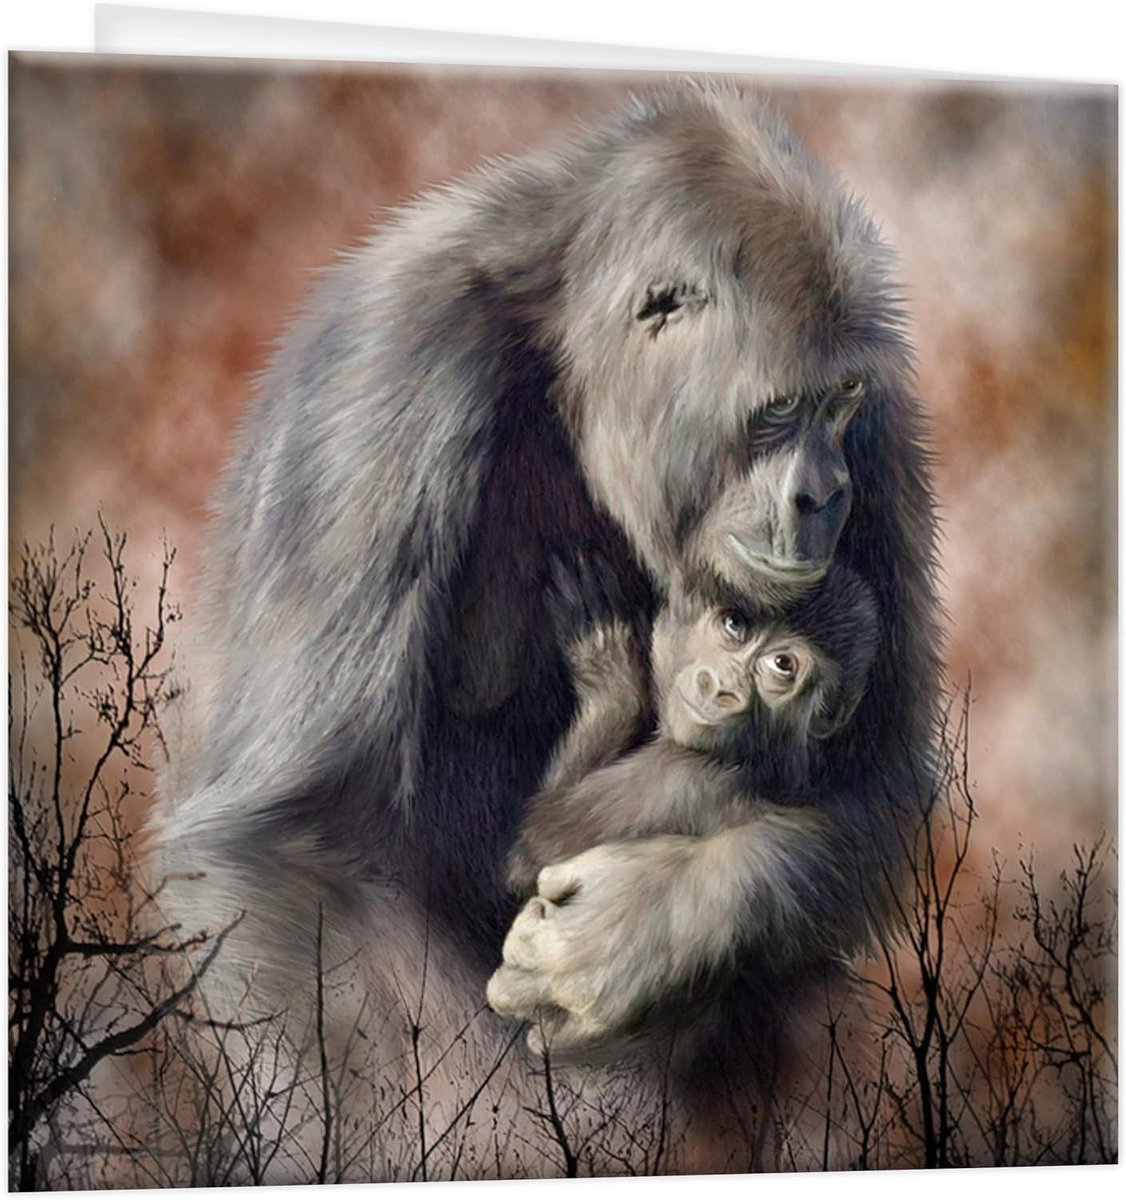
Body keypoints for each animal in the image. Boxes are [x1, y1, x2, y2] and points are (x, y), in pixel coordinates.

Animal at [161, 82, 941, 1177]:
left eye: (837, 406)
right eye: (775, 410)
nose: (821, 496)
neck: (568, 351)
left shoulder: (884, 418)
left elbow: (873, 778)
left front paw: (645, 936)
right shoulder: (392, 371)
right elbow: (290, 850)